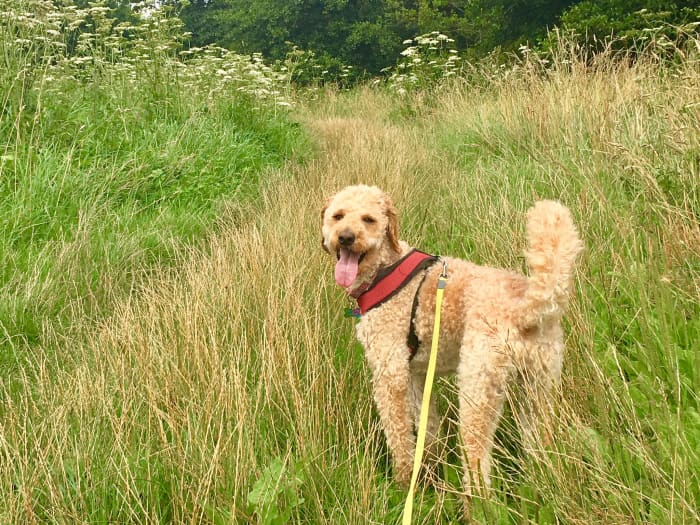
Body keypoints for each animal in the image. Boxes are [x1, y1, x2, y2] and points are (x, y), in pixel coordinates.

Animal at [320, 185, 584, 496]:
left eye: (369, 220)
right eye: (338, 216)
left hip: (477, 391)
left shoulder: (389, 375)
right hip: (539, 390)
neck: (386, 267)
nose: (346, 238)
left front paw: (403, 483)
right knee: (540, 446)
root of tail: (525, 309)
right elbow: (427, 425)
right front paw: (429, 466)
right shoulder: (416, 374)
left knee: (478, 467)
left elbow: (399, 436)